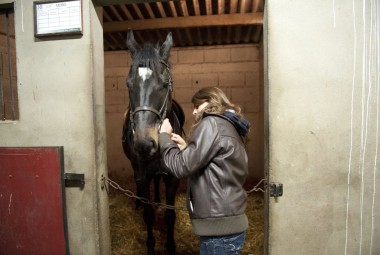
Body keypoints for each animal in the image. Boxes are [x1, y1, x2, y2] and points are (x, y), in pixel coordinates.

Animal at [121, 30, 185, 255]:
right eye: (129, 84)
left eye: (165, 84)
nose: (144, 144)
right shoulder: (142, 174)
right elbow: (148, 215)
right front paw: (150, 246)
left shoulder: (173, 176)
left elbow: (170, 214)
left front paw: (171, 246)